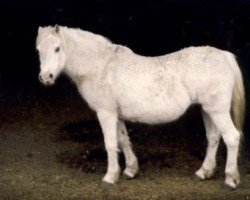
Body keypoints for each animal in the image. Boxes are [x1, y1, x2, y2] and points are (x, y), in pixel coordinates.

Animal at [36, 25, 245, 189]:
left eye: (57, 48)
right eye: (38, 50)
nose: (46, 77)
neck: (101, 66)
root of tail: (223, 55)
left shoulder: (106, 113)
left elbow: (110, 144)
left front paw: (110, 177)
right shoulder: (116, 115)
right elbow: (123, 140)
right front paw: (130, 170)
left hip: (217, 111)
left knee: (232, 138)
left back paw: (230, 180)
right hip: (207, 110)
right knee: (214, 138)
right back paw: (203, 172)